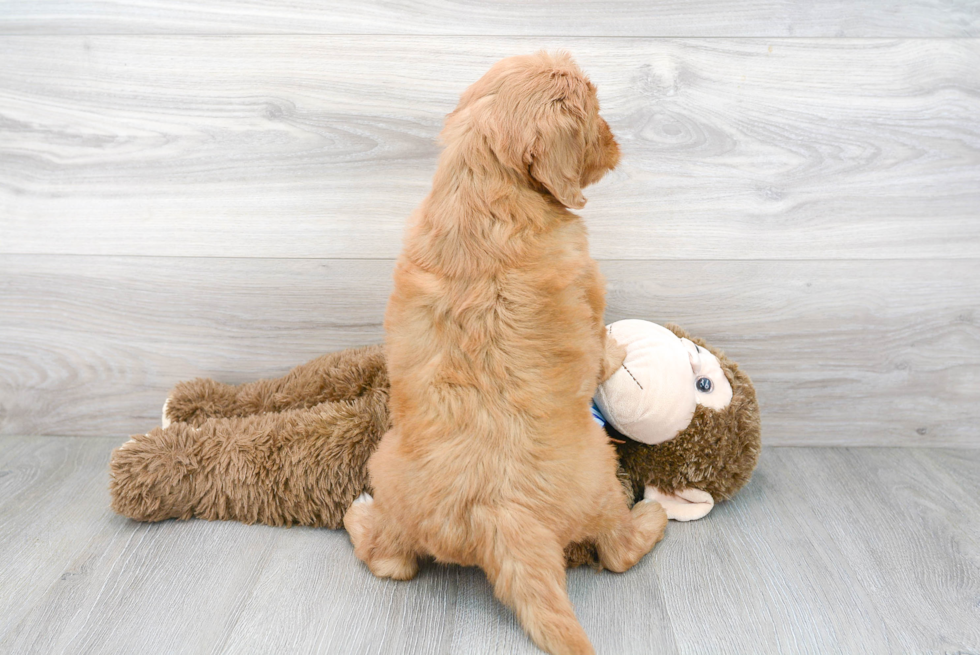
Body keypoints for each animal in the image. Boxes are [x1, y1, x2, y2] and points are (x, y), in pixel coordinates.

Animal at [342, 52, 668, 655]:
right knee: (616, 551)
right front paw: (617, 348)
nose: (618, 143)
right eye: (595, 114)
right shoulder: (589, 288)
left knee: (390, 561)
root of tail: (500, 513)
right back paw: (649, 519)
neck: (485, 186)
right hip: (603, 477)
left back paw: (360, 516)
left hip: (389, 469)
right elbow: (600, 346)